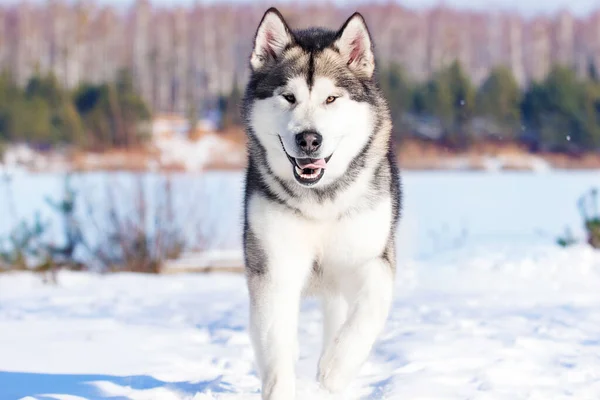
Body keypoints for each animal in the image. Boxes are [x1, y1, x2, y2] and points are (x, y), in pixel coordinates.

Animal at [241, 7, 400, 400]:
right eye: (288, 97)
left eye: (331, 99)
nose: (309, 139)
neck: (320, 202)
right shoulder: (274, 268)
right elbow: (276, 345)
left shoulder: (373, 258)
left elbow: (368, 310)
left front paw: (334, 370)